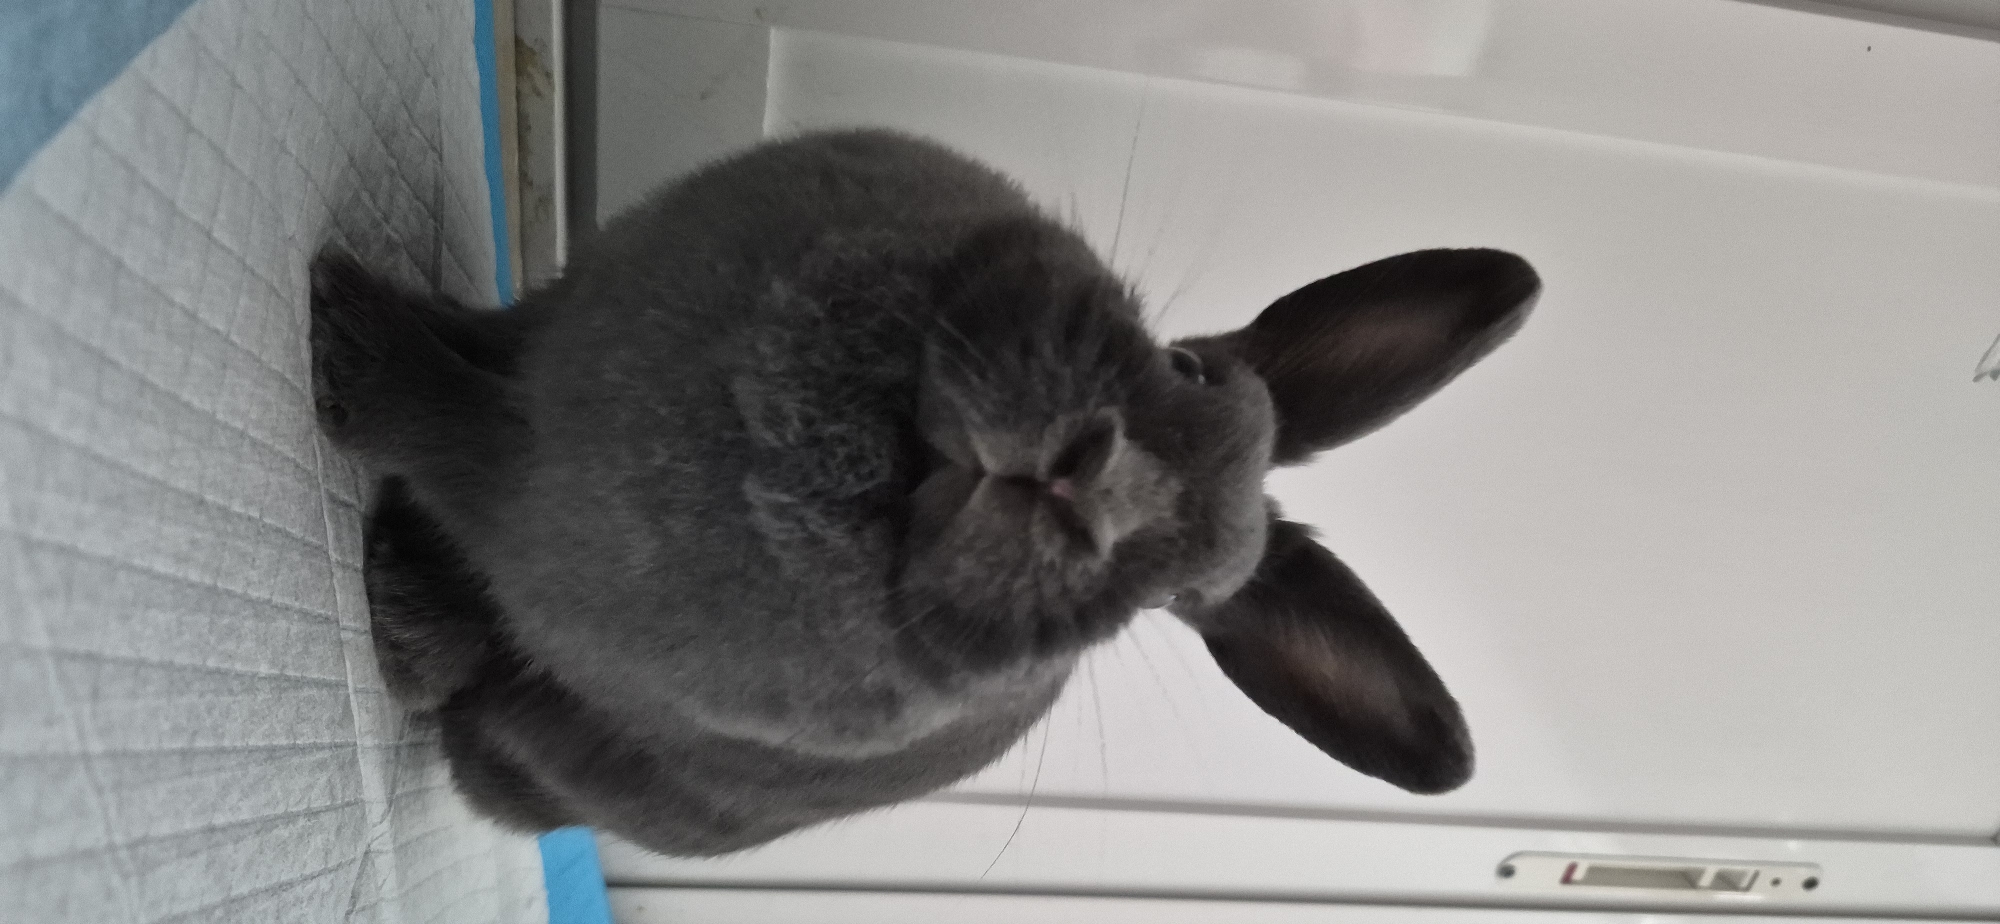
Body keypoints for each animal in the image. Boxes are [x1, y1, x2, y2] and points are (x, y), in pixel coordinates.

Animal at [309, 128, 1539, 856]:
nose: (1094, 480)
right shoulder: (551, 344)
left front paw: (337, 336)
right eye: (1186, 367)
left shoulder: (523, 490)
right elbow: (468, 362)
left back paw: (399, 617)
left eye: (1170, 601)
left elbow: (439, 423)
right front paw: (348, 308)